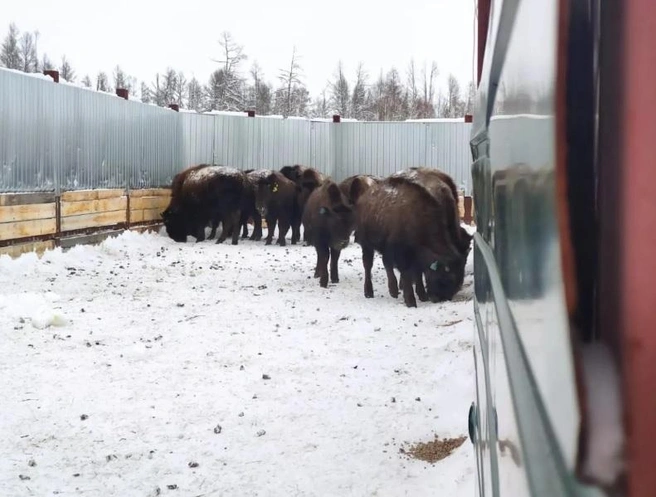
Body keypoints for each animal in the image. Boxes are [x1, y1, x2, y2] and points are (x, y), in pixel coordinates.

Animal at [354, 174, 466, 306]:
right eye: (447, 277)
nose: (438, 298)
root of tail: (364, 197)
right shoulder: (402, 254)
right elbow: (407, 274)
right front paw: (411, 301)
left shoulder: (415, 257)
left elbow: (417, 273)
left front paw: (422, 295)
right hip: (367, 245)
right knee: (368, 265)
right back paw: (369, 292)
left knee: (386, 264)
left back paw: (393, 291)